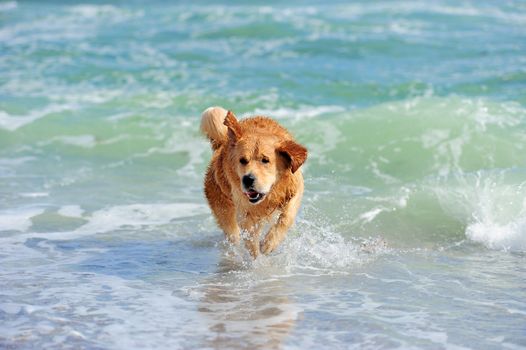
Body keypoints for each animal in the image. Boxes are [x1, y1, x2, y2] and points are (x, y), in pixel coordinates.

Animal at [202, 106, 310, 258]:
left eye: (265, 160)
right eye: (242, 160)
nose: (248, 179)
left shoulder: (296, 186)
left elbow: (286, 217)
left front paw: (270, 243)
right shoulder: (245, 210)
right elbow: (251, 239)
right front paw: (257, 259)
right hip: (223, 209)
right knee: (234, 234)